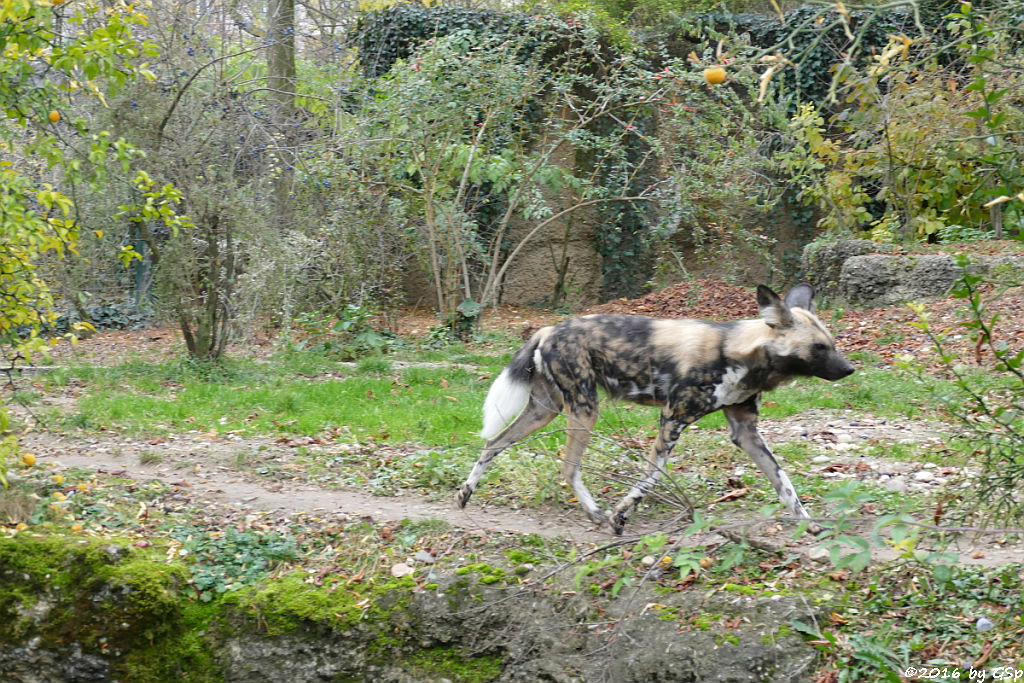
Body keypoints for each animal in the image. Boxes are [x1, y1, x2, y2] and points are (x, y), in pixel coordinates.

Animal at [456, 282, 856, 532]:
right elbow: (652, 476)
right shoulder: (672, 419)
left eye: (832, 344)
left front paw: (806, 521)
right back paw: (598, 515)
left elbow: (783, 481)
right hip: (585, 408)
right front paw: (620, 516)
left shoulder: (746, 432)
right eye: (819, 348)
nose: (850, 369)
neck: (742, 356)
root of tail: (548, 329)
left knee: (493, 444)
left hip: (545, 410)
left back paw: (464, 494)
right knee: (568, 468)